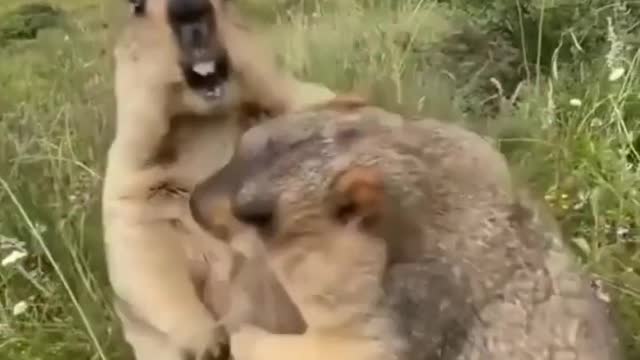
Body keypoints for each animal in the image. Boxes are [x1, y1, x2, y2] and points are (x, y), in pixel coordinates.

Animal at [101, 0, 336, 360]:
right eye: (138, 6)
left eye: (226, 2)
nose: (189, 7)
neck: (205, 123)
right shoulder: (129, 173)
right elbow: (140, 246)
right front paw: (205, 340)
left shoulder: (305, 99)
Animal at [189, 100, 620, 360]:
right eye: (240, 143)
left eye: (258, 216)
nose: (191, 202)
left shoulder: (398, 311)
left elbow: (334, 348)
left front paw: (241, 333)